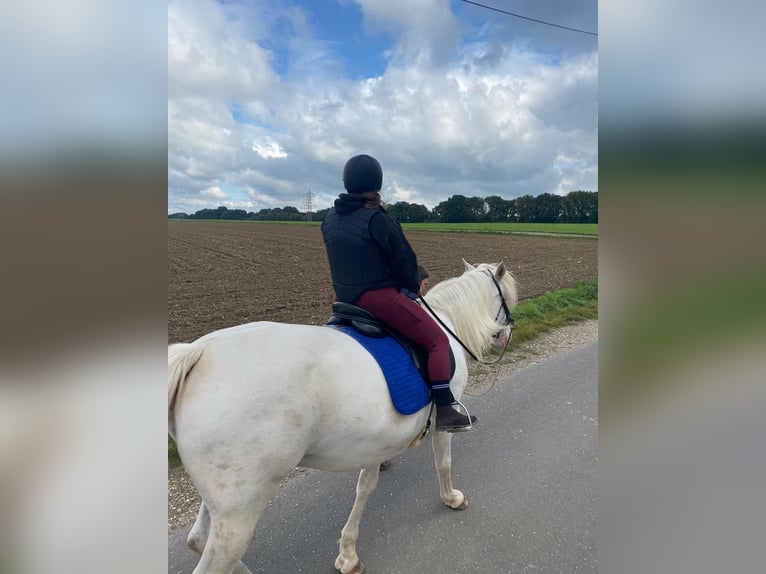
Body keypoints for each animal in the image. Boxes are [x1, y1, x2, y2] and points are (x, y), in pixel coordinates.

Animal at [167, 260, 516, 574]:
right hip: (238, 515)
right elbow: (442, 462)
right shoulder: (443, 417)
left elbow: (366, 486)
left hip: (221, 498)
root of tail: (199, 351)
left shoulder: (377, 440)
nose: (505, 334)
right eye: (507, 300)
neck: (447, 321)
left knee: (197, 538)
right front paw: (451, 498)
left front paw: (348, 553)